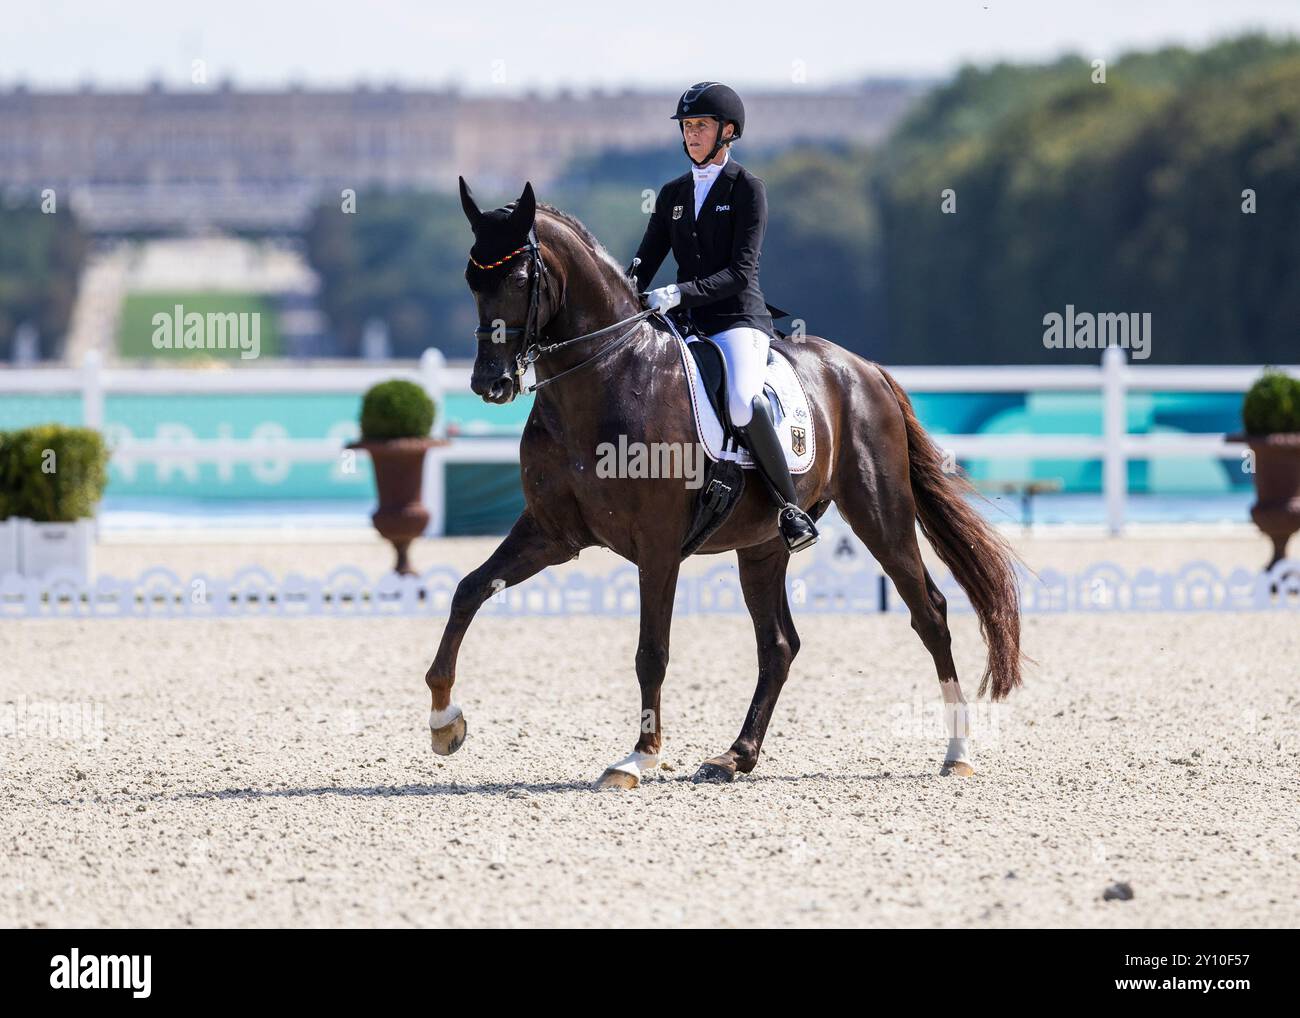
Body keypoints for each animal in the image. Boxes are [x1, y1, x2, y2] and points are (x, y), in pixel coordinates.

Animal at [421, 180, 1019, 790]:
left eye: (520, 279)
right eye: (472, 279)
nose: (489, 383)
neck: (605, 377)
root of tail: (865, 369)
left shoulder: (658, 546)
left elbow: (651, 651)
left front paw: (639, 757)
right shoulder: (551, 534)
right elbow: (468, 590)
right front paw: (445, 722)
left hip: (881, 515)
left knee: (930, 613)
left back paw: (957, 751)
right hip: (763, 544)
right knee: (779, 645)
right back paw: (736, 756)